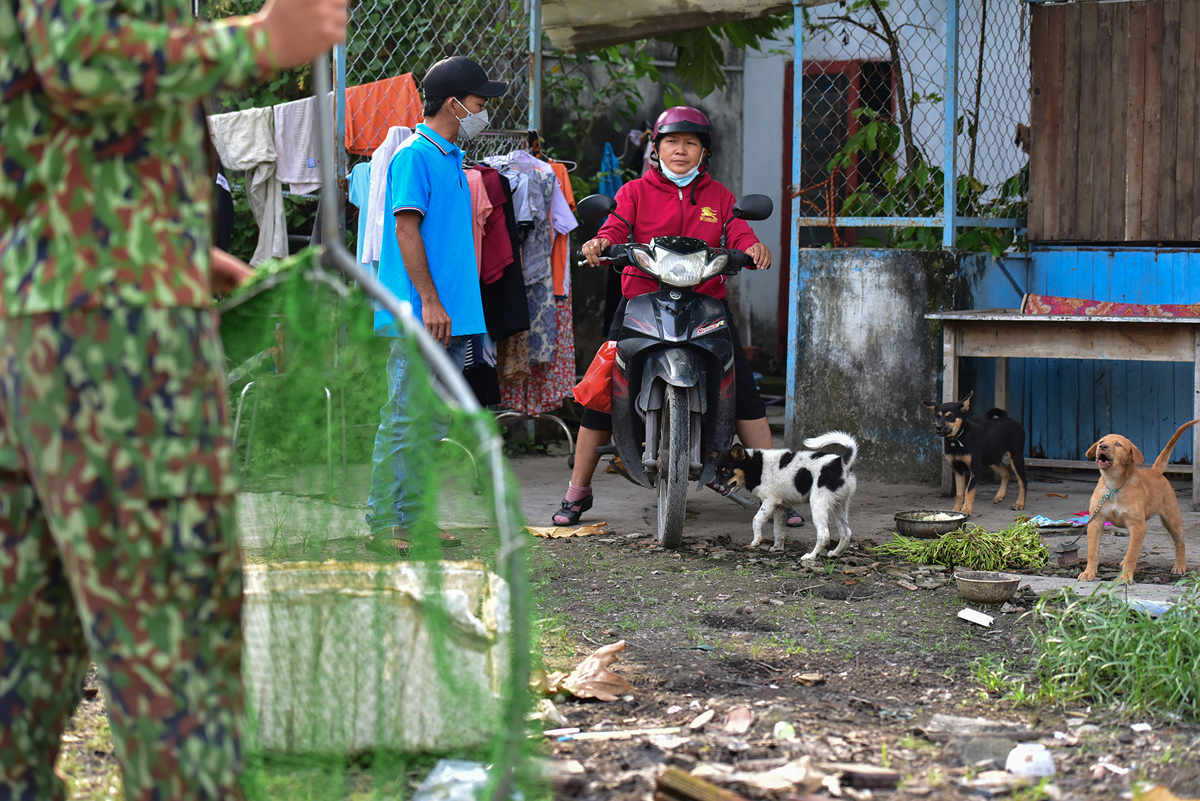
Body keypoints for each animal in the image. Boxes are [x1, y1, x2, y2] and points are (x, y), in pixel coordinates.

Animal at [710, 434, 854, 561]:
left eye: (727, 472)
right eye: (716, 471)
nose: (715, 487)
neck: (755, 466)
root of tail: (842, 463)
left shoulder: (769, 501)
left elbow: (756, 520)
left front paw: (756, 541)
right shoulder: (780, 506)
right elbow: (778, 530)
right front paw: (777, 548)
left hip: (818, 503)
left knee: (824, 534)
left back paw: (811, 556)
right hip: (838, 505)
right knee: (846, 532)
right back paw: (836, 553)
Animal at [1080, 419, 1200, 582]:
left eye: (1118, 444)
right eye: (1101, 441)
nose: (1102, 446)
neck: (1114, 485)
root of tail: (1155, 471)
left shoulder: (1138, 525)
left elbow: (1132, 554)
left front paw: (1125, 577)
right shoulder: (1096, 521)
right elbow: (1092, 551)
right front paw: (1089, 572)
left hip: (1171, 518)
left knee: (1179, 541)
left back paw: (1180, 565)